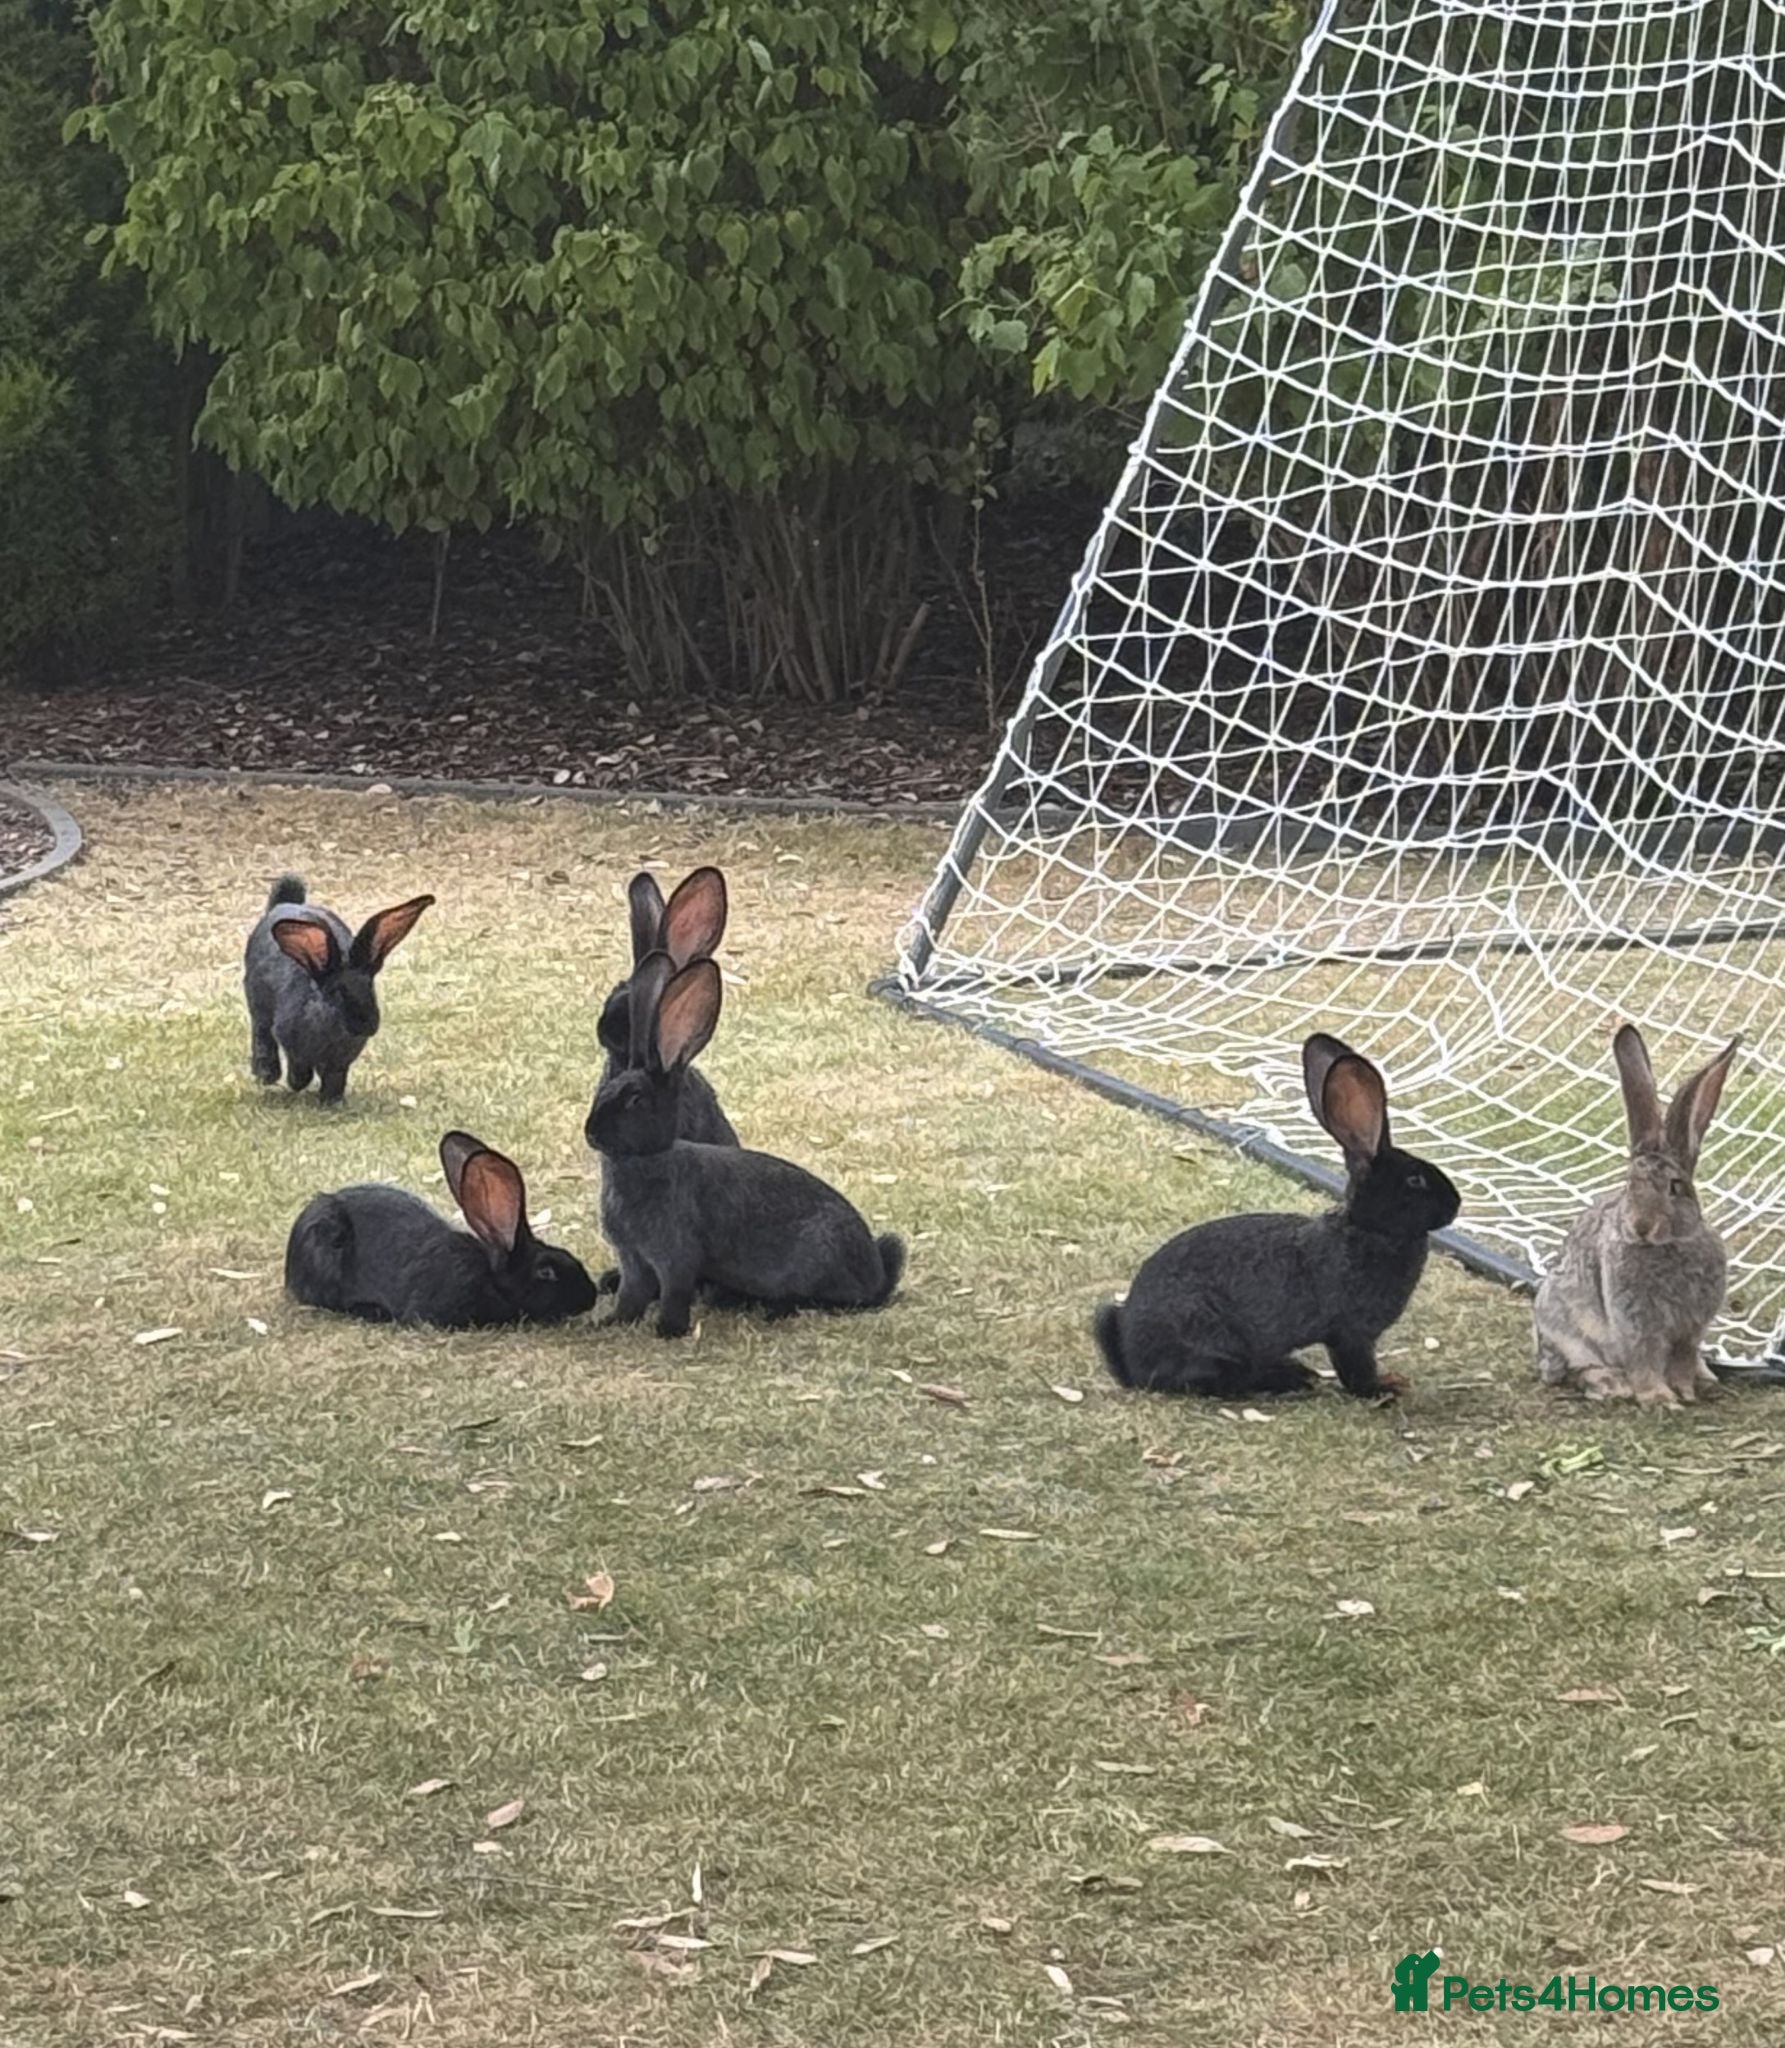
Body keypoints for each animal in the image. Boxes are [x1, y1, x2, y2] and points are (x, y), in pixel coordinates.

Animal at [244, 875, 434, 1105]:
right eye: (336, 992)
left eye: (370, 986)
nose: (367, 1026)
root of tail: (284, 904)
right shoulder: (291, 1043)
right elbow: (300, 1069)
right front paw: (296, 1084)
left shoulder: (341, 1061)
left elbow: (335, 1077)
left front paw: (332, 1101)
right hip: (257, 1003)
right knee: (261, 1032)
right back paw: (266, 1075)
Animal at [584, 951, 904, 1338]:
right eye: (605, 1091)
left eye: (635, 1100)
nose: (591, 1132)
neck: (648, 1158)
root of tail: (876, 1276)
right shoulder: (633, 1257)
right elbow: (632, 1294)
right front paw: (611, 1322)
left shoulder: (674, 1254)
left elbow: (674, 1290)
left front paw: (668, 1330)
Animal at [1093, 1032, 1460, 1400]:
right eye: (1415, 1181)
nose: (1456, 1204)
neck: (1367, 1229)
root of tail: (1132, 1364)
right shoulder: (1350, 1333)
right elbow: (1355, 1370)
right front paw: (1384, 1388)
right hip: (1209, 1337)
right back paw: (1289, 1378)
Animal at [1533, 1024, 1741, 1408]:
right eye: (1630, 1185)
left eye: (1675, 1187)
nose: (1641, 1226)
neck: (1669, 1245)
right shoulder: (1637, 1324)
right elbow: (1644, 1360)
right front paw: (1659, 1398)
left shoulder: (1690, 1329)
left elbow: (1682, 1361)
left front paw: (1684, 1392)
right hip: (1566, 1328)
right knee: (1578, 1368)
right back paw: (1610, 1384)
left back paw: (1707, 1380)